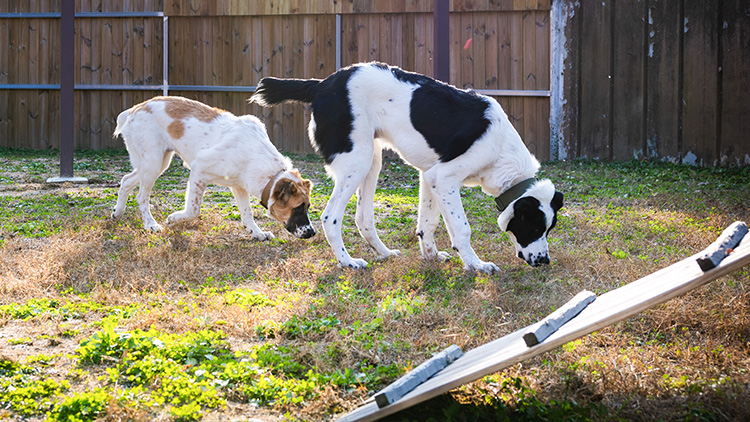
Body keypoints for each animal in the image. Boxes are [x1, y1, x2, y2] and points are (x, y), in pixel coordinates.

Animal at [112, 96, 318, 241]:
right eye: (298, 207)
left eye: (308, 206)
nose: (312, 233)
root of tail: (135, 109)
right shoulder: (199, 170)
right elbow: (193, 210)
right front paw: (174, 219)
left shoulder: (239, 185)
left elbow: (247, 213)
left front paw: (257, 233)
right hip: (153, 163)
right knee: (141, 196)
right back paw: (150, 224)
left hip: (156, 163)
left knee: (125, 181)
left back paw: (118, 212)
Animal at [253, 62, 564, 274]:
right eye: (534, 225)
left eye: (549, 229)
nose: (545, 262)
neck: (501, 151)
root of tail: (322, 84)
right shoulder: (445, 178)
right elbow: (461, 229)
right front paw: (476, 265)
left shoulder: (430, 176)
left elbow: (427, 224)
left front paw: (431, 257)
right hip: (357, 160)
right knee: (331, 217)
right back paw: (347, 261)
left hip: (372, 160)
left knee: (363, 218)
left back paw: (384, 253)